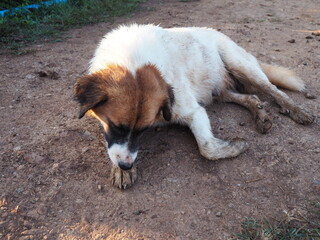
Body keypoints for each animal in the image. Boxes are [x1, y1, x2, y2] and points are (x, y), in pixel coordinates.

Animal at [74, 24, 314, 189]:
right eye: (117, 126)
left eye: (144, 130)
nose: (126, 165)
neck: (133, 58)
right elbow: (113, 146)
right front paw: (120, 170)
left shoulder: (193, 111)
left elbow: (207, 148)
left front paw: (236, 146)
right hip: (217, 89)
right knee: (250, 96)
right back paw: (260, 114)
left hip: (241, 66)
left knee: (272, 89)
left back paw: (297, 111)